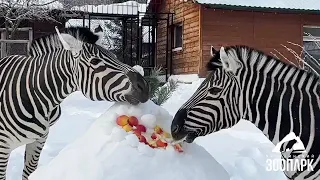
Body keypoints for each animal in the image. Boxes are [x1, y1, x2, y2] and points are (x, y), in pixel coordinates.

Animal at [0, 25, 149, 180]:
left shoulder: (39, 139)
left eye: (114, 57)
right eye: (95, 62)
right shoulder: (3, 146)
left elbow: (29, 172)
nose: (144, 86)